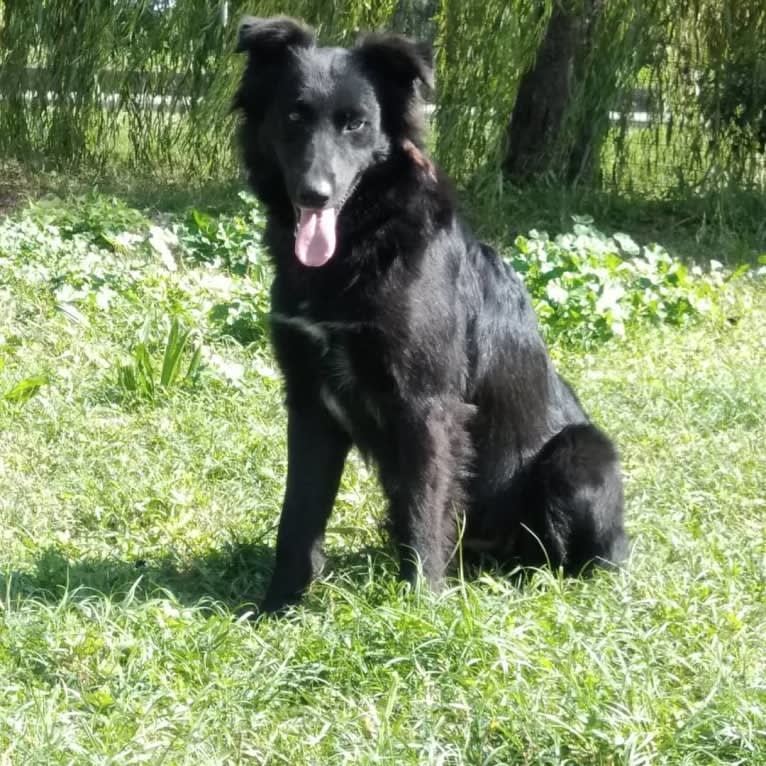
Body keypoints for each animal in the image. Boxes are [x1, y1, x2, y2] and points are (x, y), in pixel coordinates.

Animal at [234, 15, 632, 616]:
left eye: (356, 124)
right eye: (294, 116)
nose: (314, 195)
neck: (362, 244)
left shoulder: (427, 406)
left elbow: (425, 511)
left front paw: (421, 609)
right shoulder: (309, 405)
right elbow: (298, 518)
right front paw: (278, 604)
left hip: (580, 454)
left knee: (569, 557)